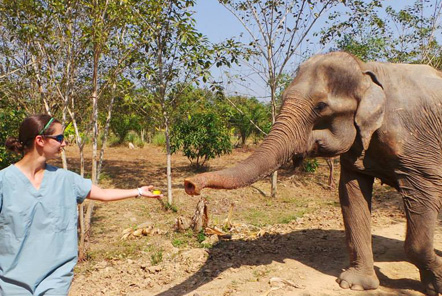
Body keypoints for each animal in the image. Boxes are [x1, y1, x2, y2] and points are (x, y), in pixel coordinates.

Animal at [185, 52, 442, 294]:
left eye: (320, 107)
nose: (190, 185)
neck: (367, 70)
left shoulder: (417, 146)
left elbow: (423, 195)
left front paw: (436, 285)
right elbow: (351, 194)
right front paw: (354, 285)